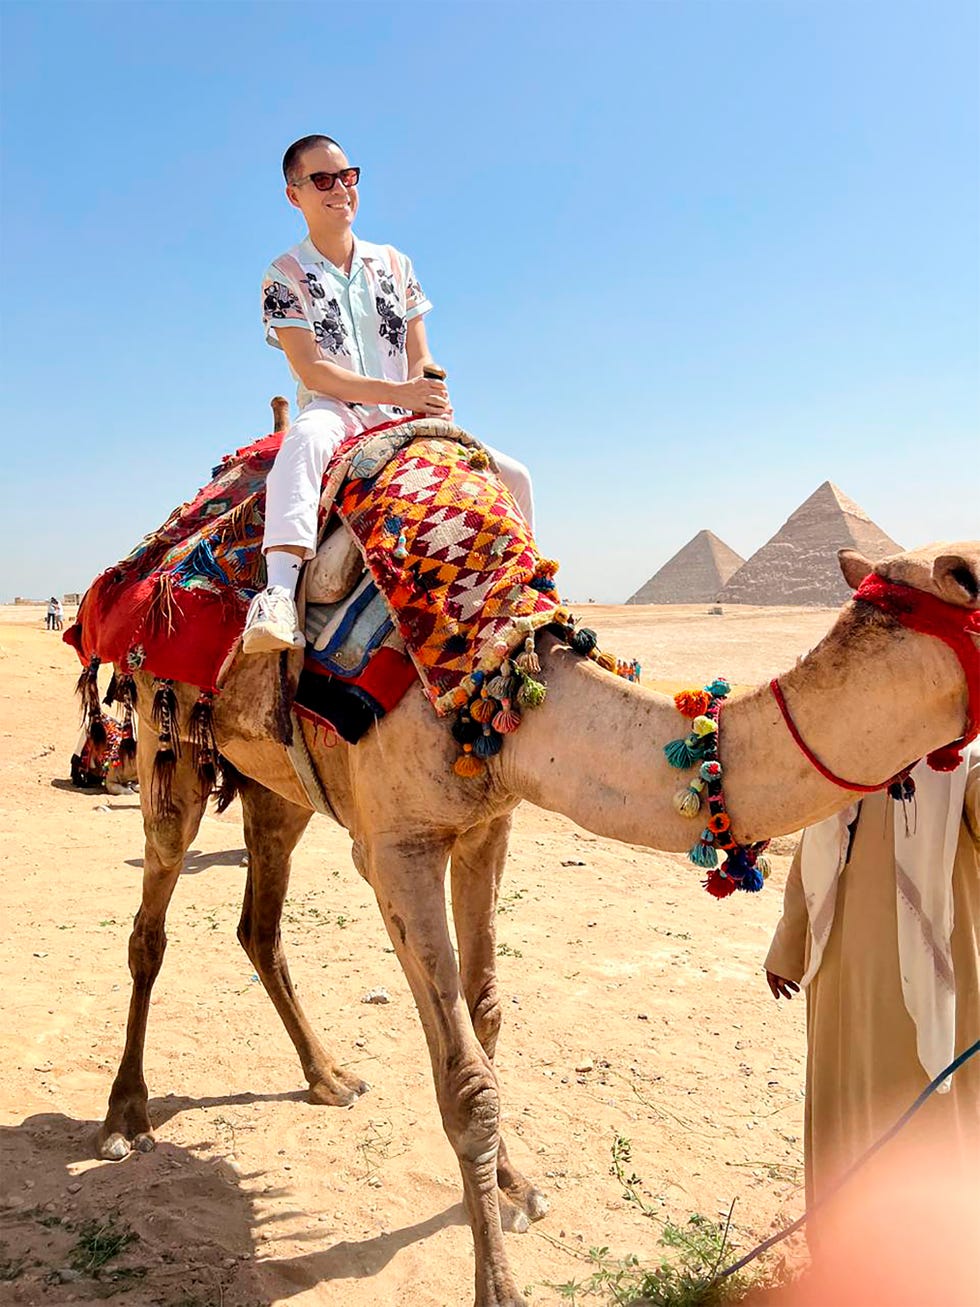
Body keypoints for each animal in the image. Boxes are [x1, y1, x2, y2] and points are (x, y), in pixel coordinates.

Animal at [65, 418, 977, 1307]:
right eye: (969, 580)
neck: (498, 673)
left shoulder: (488, 825)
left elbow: (489, 1011)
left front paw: (515, 1186)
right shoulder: (394, 848)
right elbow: (466, 1083)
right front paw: (498, 1285)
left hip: (273, 780)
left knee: (260, 923)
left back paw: (328, 1077)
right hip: (168, 734)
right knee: (151, 924)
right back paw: (123, 1118)